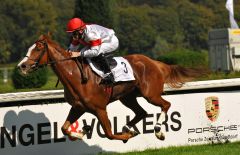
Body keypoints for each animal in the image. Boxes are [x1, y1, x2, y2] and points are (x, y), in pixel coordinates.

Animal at [17, 34, 205, 142]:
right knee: (142, 112)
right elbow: (64, 129)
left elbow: (109, 133)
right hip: (128, 97)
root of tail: (155, 62)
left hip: (150, 94)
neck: (76, 76)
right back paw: (128, 127)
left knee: (165, 105)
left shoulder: (100, 109)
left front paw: (126, 136)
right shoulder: (78, 107)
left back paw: (158, 131)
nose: (22, 66)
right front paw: (82, 131)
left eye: (38, 48)